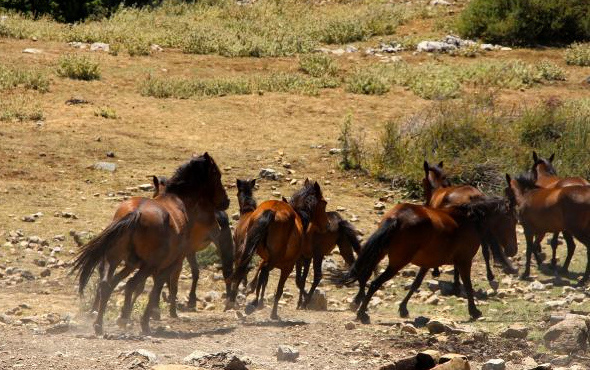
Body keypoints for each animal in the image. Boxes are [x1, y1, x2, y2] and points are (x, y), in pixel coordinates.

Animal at [73, 153, 230, 336]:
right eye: (217, 175)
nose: (226, 201)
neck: (177, 201)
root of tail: (136, 213)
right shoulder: (170, 264)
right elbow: (155, 290)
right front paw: (144, 321)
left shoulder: (132, 264)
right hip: (149, 265)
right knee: (131, 284)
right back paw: (127, 320)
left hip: (114, 259)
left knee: (106, 285)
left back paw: (99, 324)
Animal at [228, 179, 330, 318]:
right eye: (324, 203)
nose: (327, 225)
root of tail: (272, 211)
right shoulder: (288, 265)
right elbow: (281, 287)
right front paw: (273, 312)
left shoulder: (266, 257)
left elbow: (262, 275)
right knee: (263, 271)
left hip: (248, 248)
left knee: (244, 267)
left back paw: (238, 297)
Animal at [340, 195, 516, 322]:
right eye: (511, 220)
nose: (512, 250)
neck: (469, 220)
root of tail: (397, 217)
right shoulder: (464, 261)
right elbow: (468, 284)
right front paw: (474, 311)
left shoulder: (427, 263)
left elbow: (415, 284)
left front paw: (403, 308)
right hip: (397, 263)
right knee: (375, 283)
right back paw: (362, 313)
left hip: (380, 253)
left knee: (365, 275)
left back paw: (358, 303)